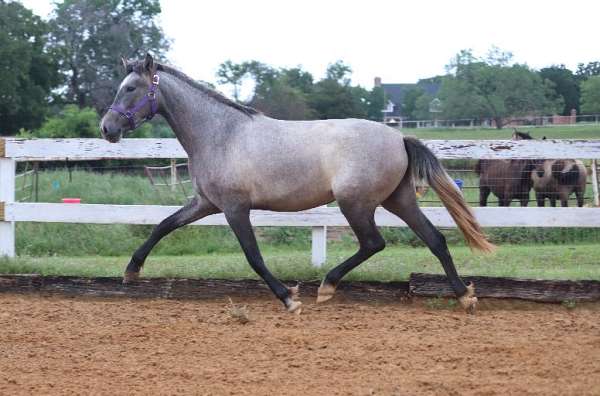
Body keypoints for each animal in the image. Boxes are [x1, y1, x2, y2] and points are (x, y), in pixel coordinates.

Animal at [99, 54, 492, 316]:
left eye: (130, 88)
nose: (107, 128)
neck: (221, 134)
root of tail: (398, 137)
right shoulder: (205, 203)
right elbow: (163, 225)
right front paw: (131, 272)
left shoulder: (234, 208)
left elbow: (254, 256)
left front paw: (289, 298)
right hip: (398, 200)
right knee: (435, 239)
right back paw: (465, 295)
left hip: (355, 203)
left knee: (374, 243)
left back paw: (327, 287)